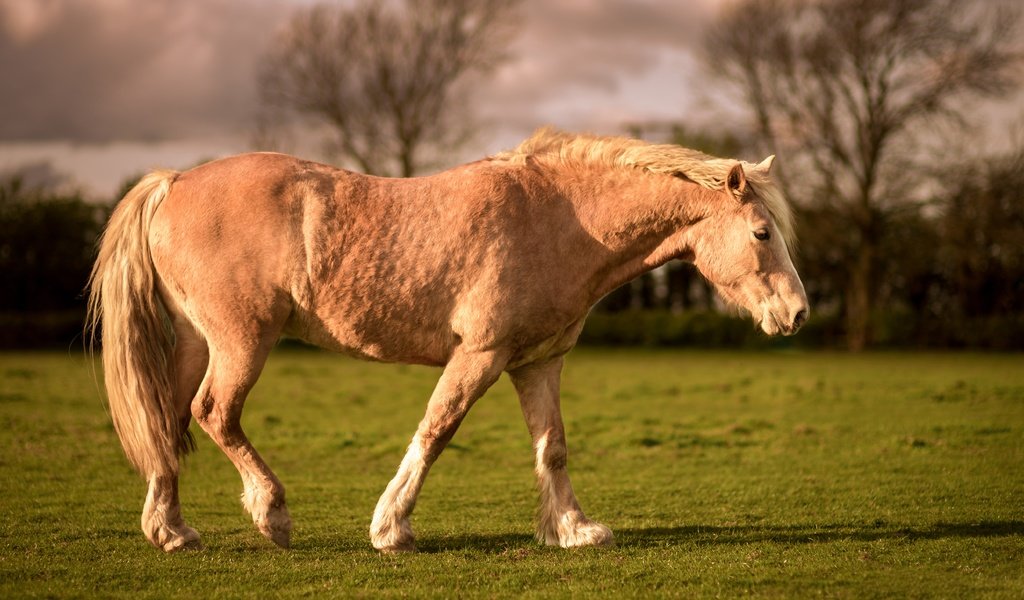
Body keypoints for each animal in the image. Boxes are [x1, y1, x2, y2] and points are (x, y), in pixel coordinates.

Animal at [86, 125, 806, 552]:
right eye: (762, 232)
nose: (797, 314)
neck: (558, 217)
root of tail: (174, 183)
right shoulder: (479, 355)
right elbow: (436, 430)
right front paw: (391, 528)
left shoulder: (537, 363)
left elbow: (553, 449)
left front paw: (574, 530)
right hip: (242, 341)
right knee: (214, 413)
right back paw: (272, 514)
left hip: (197, 342)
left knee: (168, 420)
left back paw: (171, 530)